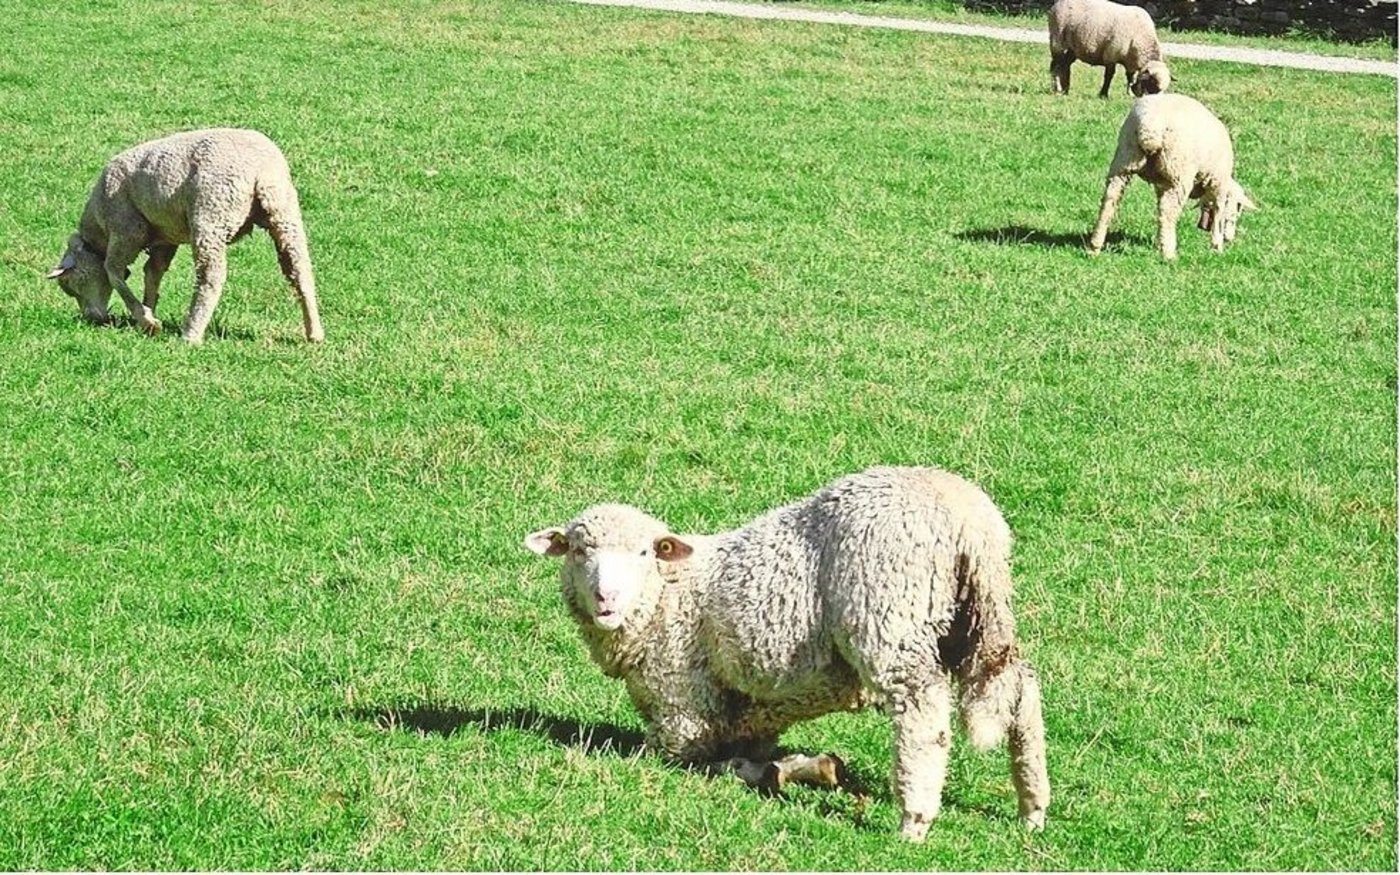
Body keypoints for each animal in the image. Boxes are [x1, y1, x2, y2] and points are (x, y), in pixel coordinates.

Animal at [46, 128, 324, 344]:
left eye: (72, 285)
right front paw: (148, 312)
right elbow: (152, 273)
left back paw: (191, 333)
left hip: (211, 215)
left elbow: (113, 272)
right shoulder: (164, 239)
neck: (98, 231)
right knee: (300, 270)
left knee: (211, 276)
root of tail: (260, 170)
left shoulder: (127, 229)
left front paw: (145, 318)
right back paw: (315, 333)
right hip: (284, 212)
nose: (93, 319)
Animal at [524, 466, 1050, 841]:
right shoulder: (749, 709)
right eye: (578, 550)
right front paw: (800, 767)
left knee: (923, 713)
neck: (667, 596)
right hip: (979, 617)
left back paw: (914, 819)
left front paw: (772, 771)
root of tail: (967, 516)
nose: (606, 598)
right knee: (1021, 689)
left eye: (643, 554)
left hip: (889, 612)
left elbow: (679, 755)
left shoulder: (683, 706)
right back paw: (1032, 806)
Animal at [1088, 93, 1256, 260]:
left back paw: (1094, 247)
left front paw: (1159, 241)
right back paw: (1169, 254)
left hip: (1124, 159)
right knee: (1168, 212)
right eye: (1238, 209)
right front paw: (1217, 246)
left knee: (1109, 201)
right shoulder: (1219, 183)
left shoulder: (1162, 184)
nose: (1229, 239)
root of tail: (1150, 127)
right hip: (1178, 173)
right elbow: (1219, 213)